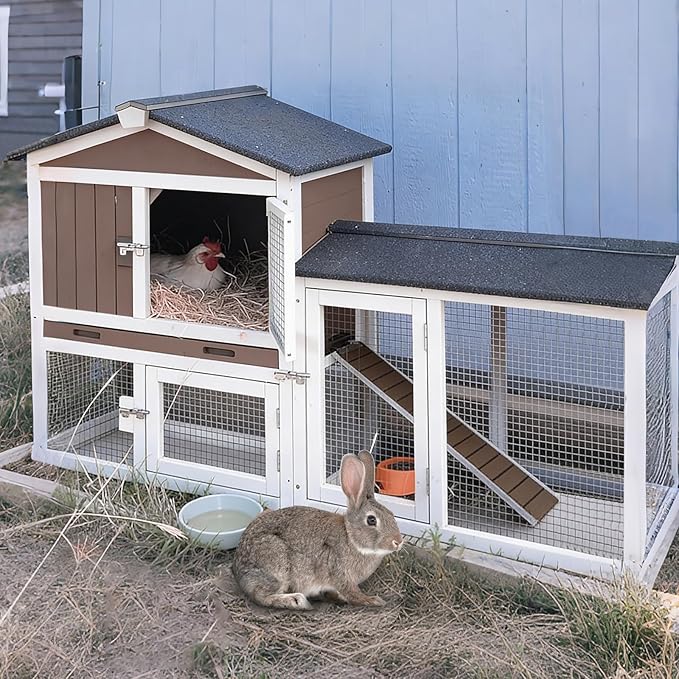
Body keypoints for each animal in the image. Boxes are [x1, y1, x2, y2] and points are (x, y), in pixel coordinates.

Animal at [232, 451, 404, 610]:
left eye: (392, 514)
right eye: (371, 520)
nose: (398, 542)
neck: (351, 539)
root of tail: (238, 570)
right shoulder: (341, 574)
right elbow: (353, 594)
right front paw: (373, 600)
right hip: (276, 563)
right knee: (260, 596)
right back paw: (296, 600)